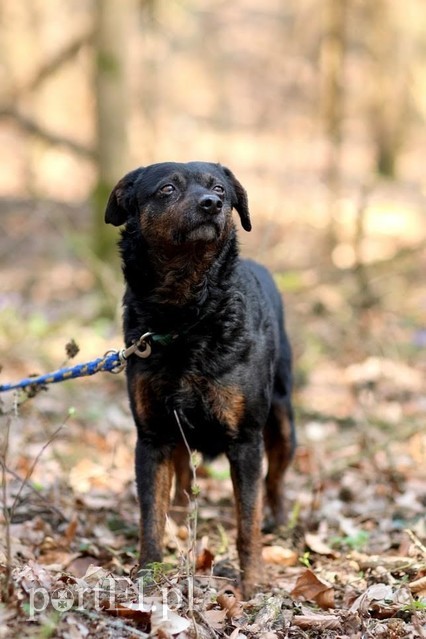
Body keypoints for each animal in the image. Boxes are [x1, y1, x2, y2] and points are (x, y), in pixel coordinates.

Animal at [105, 161, 294, 600]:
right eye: (167, 188)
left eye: (220, 189)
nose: (212, 204)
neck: (187, 316)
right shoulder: (152, 436)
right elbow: (151, 518)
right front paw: (148, 575)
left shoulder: (245, 440)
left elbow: (247, 522)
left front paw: (253, 584)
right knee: (180, 479)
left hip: (282, 419)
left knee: (275, 479)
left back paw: (279, 519)